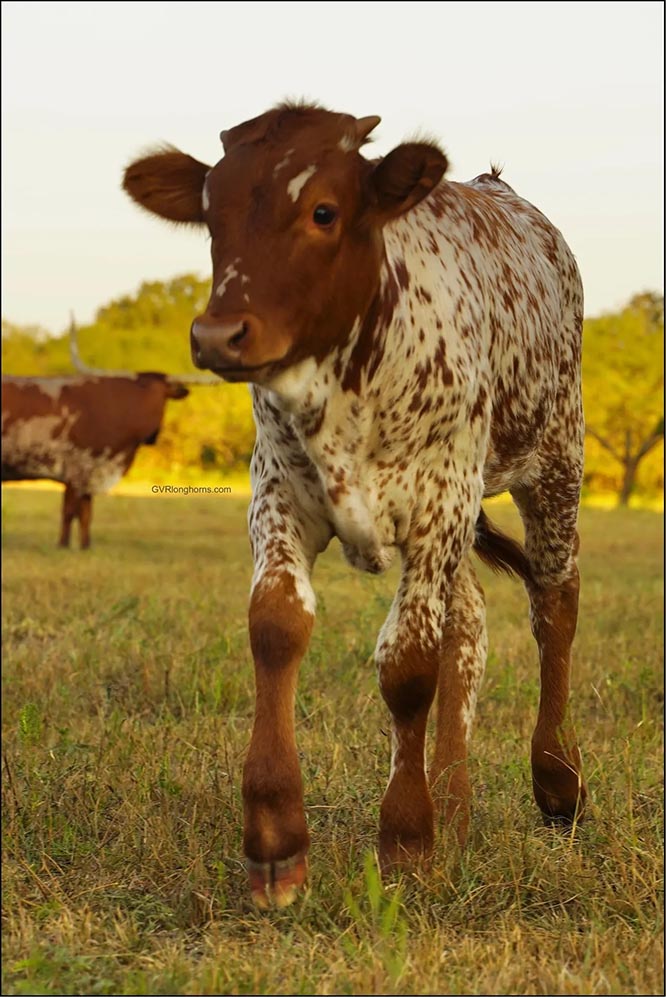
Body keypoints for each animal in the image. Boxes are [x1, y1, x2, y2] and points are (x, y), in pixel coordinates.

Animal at [124, 105, 588, 908]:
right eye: (211, 216)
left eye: (324, 211)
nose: (218, 335)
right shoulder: (278, 492)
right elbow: (276, 626)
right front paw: (276, 838)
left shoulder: (439, 504)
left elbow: (407, 666)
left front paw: (405, 840)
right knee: (469, 625)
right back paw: (454, 806)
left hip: (553, 458)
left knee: (554, 600)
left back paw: (556, 781)